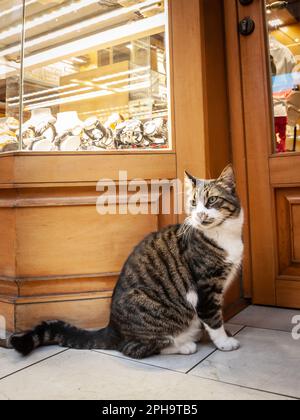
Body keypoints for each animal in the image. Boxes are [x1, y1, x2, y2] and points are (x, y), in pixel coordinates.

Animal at [10, 166, 244, 360]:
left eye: (211, 200)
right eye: (193, 203)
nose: (200, 214)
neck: (224, 234)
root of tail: (112, 327)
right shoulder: (206, 287)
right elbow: (213, 318)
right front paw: (225, 342)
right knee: (134, 348)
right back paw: (184, 345)